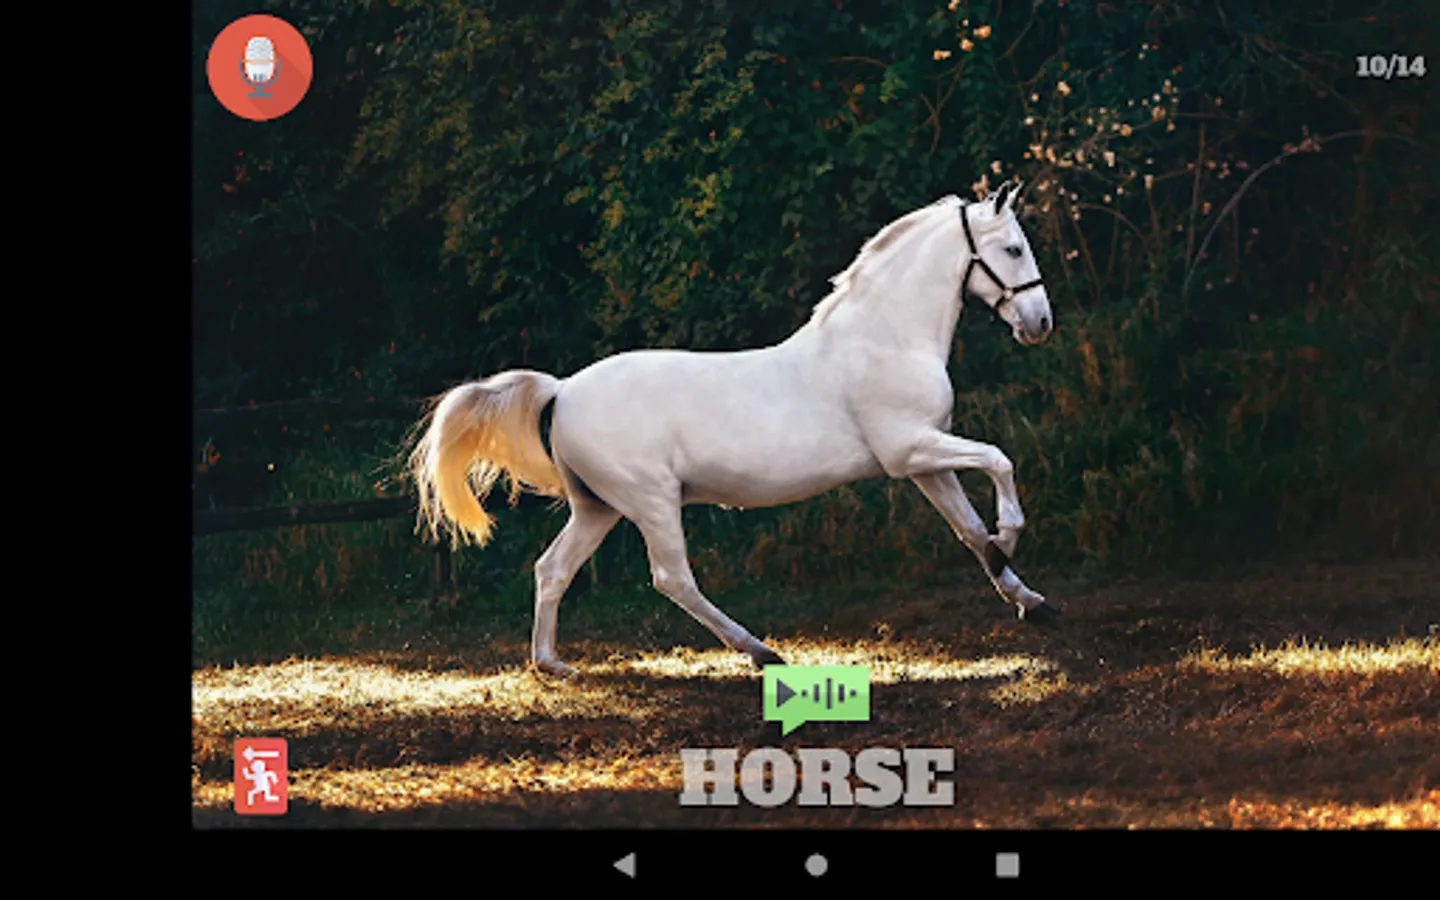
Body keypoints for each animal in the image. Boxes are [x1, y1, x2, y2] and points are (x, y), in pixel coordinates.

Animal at [406, 181, 1057, 677]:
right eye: (1013, 249)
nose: (1040, 323)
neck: (885, 339)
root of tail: (562, 391)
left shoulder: (926, 462)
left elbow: (968, 529)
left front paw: (1027, 596)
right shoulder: (910, 451)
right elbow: (999, 461)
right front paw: (1009, 537)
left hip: (598, 507)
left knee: (553, 568)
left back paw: (552, 664)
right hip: (651, 501)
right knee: (673, 578)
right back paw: (759, 650)